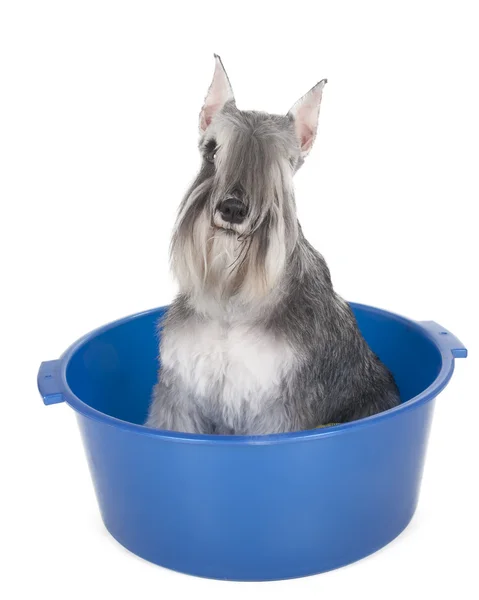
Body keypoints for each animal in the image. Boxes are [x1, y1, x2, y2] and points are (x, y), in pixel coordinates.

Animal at [147, 55, 402, 436]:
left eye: (275, 167)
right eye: (212, 151)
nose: (232, 209)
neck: (232, 300)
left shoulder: (280, 410)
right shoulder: (180, 396)